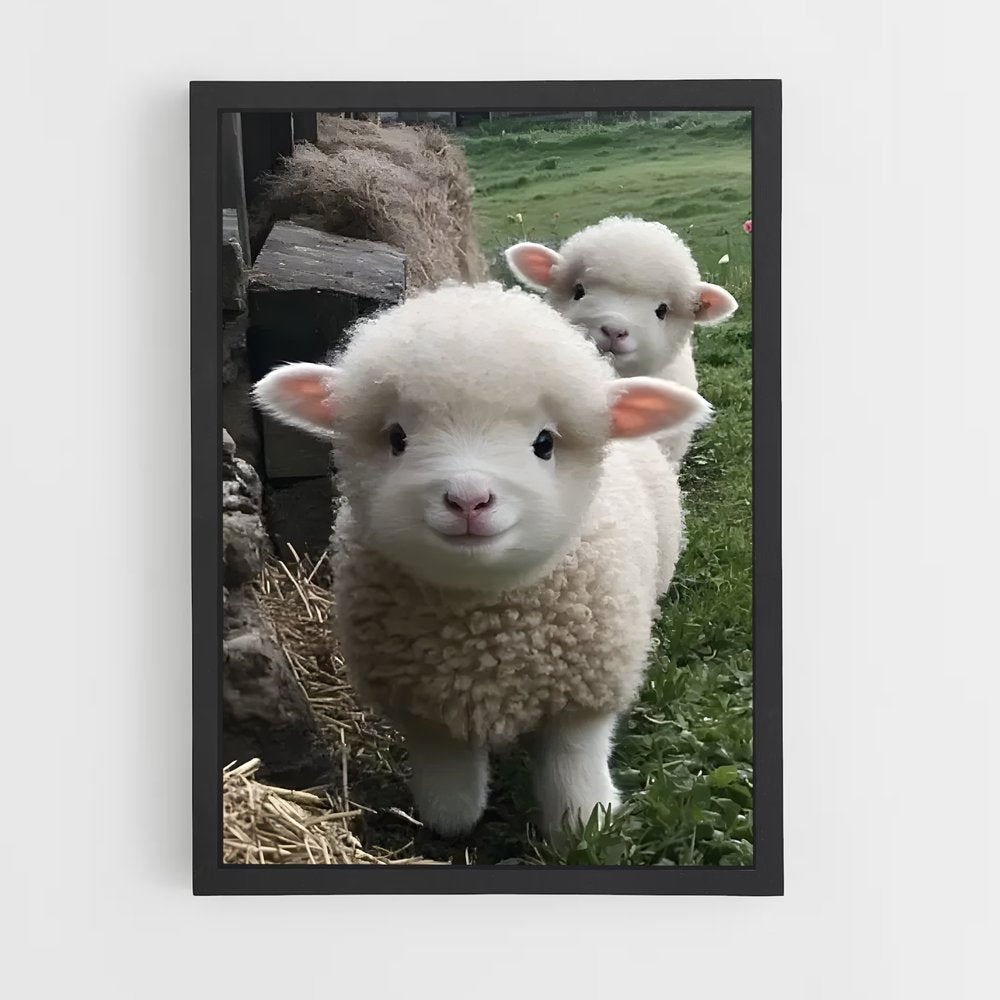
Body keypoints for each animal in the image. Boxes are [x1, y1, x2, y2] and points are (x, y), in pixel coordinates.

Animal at [252, 282, 711, 838]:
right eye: (397, 438)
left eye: (544, 443)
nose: (468, 499)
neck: (485, 625)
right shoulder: (424, 708)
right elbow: (452, 801)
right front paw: (449, 821)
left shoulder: (584, 695)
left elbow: (574, 776)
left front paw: (585, 826)